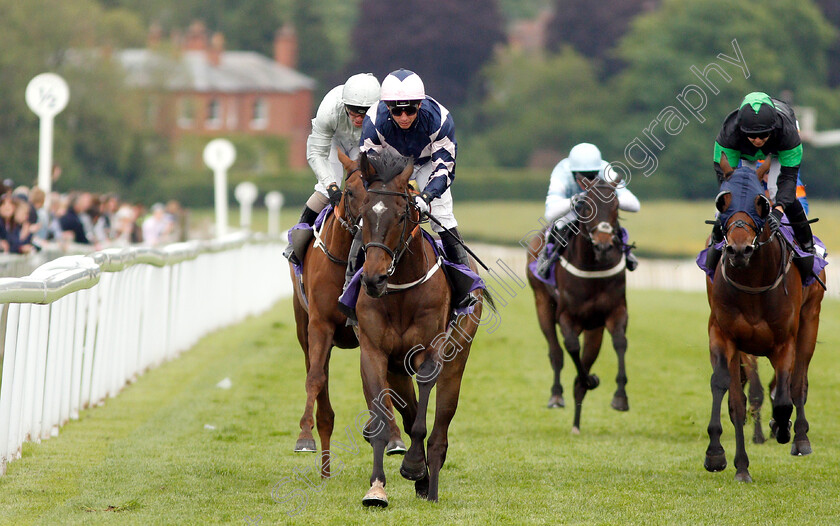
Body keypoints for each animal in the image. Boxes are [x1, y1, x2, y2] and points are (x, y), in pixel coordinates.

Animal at [288, 150, 406, 478]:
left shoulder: (368, 329)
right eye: (351, 191)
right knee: (318, 381)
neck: (343, 259)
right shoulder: (320, 325)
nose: (368, 229)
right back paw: (325, 467)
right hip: (303, 326)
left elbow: (379, 383)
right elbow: (315, 378)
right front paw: (304, 437)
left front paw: (391, 434)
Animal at [352, 151, 488, 510]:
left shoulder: (430, 350)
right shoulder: (374, 351)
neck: (400, 288)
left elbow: (423, 407)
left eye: (401, 216)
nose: (373, 279)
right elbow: (384, 416)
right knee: (407, 407)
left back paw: (431, 480)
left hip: (457, 360)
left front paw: (414, 466)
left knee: (439, 428)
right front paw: (377, 489)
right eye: (364, 215)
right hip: (397, 369)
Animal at [524, 175, 632, 436]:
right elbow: (571, 347)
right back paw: (557, 396)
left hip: (594, 328)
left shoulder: (614, 312)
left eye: (616, 206)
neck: (592, 266)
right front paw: (588, 380)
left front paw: (620, 396)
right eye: (587, 207)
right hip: (542, 304)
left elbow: (620, 343)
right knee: (555, 352)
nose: (603, 246)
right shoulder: (567, 316)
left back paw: (576, 421)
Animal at [704, 159, 828, 484]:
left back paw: (799, 437)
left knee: (798, 383)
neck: (752, 283)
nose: (738, 249)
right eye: (722, 201)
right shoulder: (725, 336)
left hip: (809, 322)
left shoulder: (784, 341)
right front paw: (724, 458)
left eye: (761, 202)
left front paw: (783, 428)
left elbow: (785, 395)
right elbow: (729, 394)